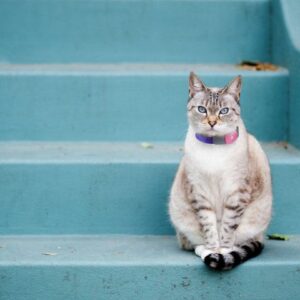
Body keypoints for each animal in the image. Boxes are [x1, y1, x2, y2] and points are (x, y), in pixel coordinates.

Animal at [169, 72, 272, 270]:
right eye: (202, 109)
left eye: (224, 111)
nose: (212, 122)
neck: (214, 147)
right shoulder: (199, 193)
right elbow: (209, 228)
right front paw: (213, 251)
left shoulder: (236, 193)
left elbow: (227, 228)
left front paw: (223, 253)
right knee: (192, 244)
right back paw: (206, 252)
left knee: (242, 241)